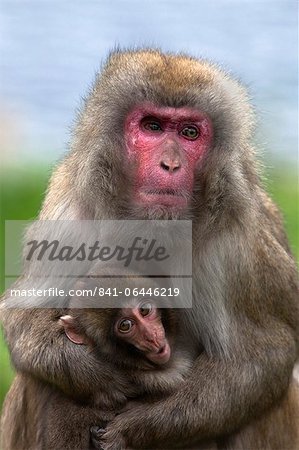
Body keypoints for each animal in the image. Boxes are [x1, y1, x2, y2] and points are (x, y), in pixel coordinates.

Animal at [0, 50, 299, 450]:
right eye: (153, 126)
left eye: (189, 133)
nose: (170, 164)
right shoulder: (71, 210)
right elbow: (22, 314)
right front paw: (97, 374)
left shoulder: (235, 241)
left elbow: (263, 356)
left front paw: (132, 427)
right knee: (37, 382)